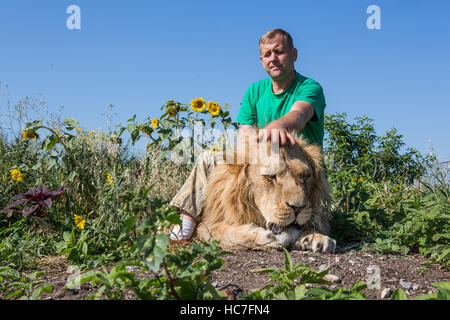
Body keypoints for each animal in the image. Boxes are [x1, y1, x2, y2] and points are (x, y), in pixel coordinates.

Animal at [195, 131, 336, 252]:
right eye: (271, 176)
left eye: (305, 176)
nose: (298, 208)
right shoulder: (205, 225)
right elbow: (219, 230)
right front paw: (261, 237)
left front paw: (318, 237)